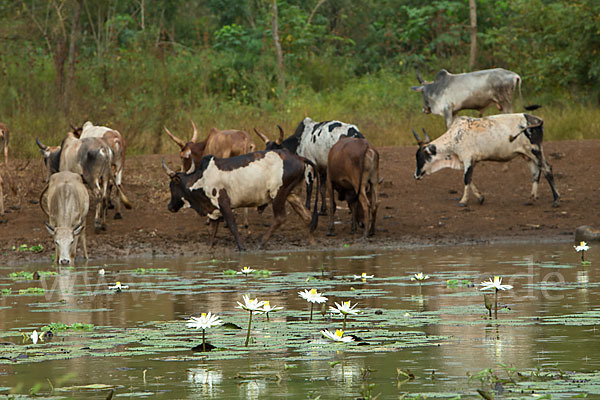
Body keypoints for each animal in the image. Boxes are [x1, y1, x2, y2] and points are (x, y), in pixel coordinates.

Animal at [159, 148, 318, 252]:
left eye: (172, 185)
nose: (169, 206)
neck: (201, 179)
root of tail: (299, 158)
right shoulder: (214, 210)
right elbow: (212, 231)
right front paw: (209, 248)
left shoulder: (223, 203)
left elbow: (232, 225)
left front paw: (241, 247)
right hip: (290, 194)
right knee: (307, 216)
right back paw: (312, 242)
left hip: (278, 194)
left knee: (280, 218)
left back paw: (261, 243)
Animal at [414, 111, 560, 206]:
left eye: (420, 157)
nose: (415, 175)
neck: (455, 136)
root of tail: (536, 119)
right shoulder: (470, 161)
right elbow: (470, 179)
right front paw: (480, 198)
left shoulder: (468, 159)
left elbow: (466, 179)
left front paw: (463, 201)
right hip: (528, 155)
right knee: (536, 173)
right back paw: (531, 199)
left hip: (535, 151)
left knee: (547, 169)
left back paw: (556, 200)